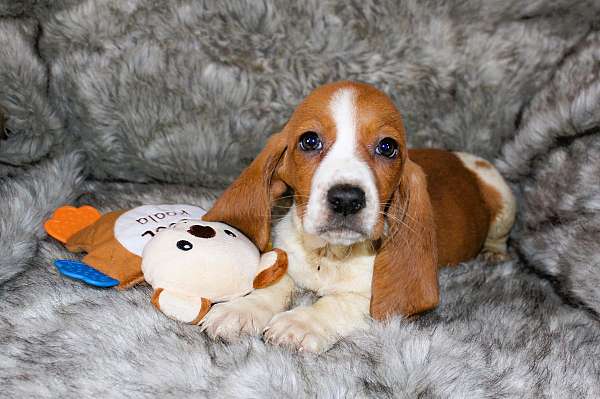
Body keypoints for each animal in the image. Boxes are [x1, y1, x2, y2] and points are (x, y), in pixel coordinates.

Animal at [200, 80, 516, 354]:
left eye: (387, 147)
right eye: (309, 141)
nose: (346, 200)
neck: (330, 256)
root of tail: (460, 158)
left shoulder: (373, 300)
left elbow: (338, 303)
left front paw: (303, 322)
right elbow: (274, 284)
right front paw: (243, 309)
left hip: (504, 201)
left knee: (499, 237)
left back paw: (494, 254)